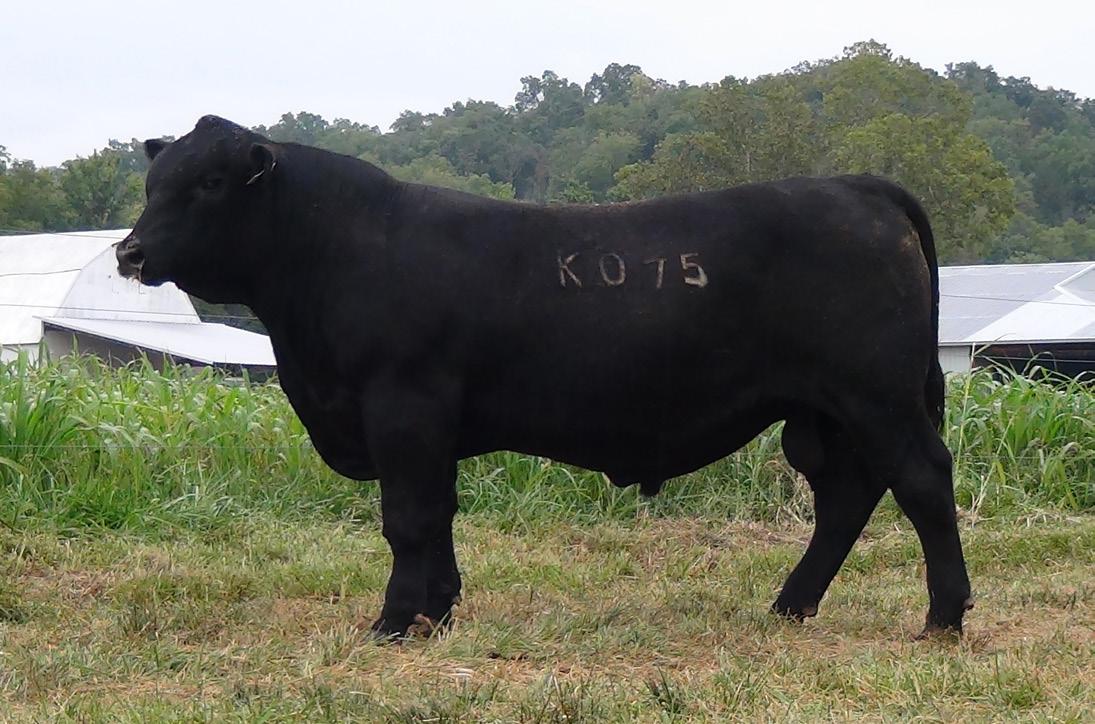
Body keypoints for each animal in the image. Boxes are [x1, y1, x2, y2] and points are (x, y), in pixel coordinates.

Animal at [116, 115, 972, 639]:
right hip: (821, 415)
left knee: (922, 483)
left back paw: (943, 617)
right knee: (846, 498)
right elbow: (441, 515)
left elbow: (409, 519)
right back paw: (790, 606)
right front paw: (437, 613)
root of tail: (856, 184)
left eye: (211, 184)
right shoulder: (427, 427)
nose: (129, 252)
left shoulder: (402, 407)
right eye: (153, 184)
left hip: (879, 397)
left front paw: (394, 623)